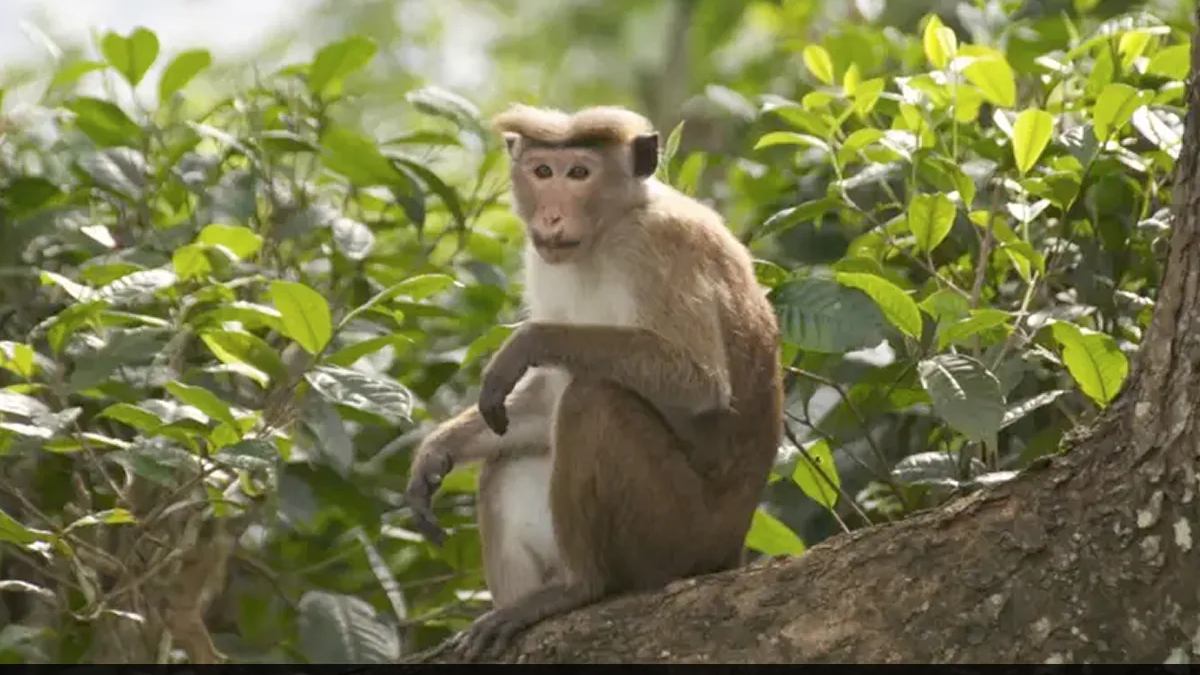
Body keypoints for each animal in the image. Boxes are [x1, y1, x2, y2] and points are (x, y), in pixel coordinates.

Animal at [403, 104, 783, 660]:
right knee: (507, 462)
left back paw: (578, 587)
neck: (609, 230)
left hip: (676, 533)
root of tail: (730, 547)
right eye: (543, 171)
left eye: (579, 173)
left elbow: (699, 383)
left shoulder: (660, 247)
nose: (551, 217)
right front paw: (437, 450)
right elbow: (539, 404)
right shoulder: (542, 260)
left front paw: (526, 343)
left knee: (594, 400)